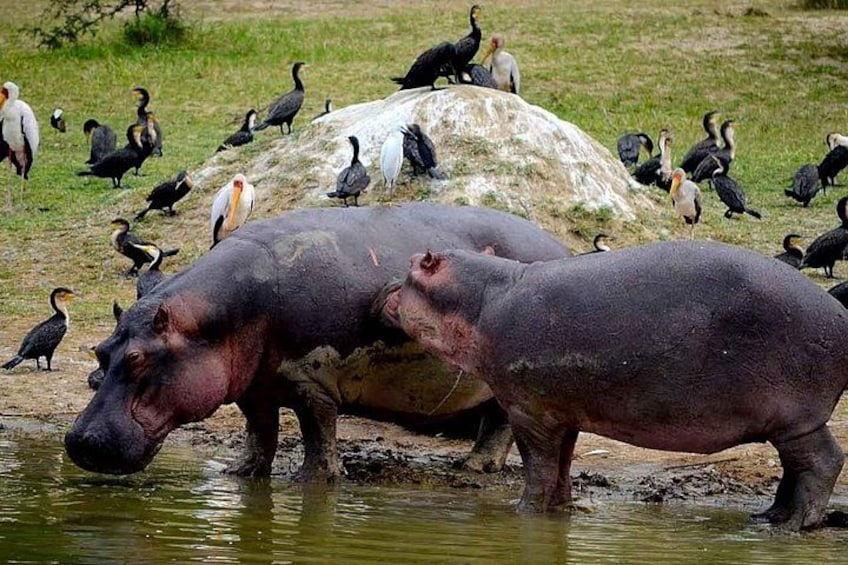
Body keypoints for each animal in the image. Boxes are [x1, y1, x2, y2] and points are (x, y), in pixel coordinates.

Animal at [65, 203, 570, 480]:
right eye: (100, 351)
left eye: (137, 359)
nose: (79, 441)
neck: (215, 318)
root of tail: (562, 248)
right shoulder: (255, 389)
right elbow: (260, 434)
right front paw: (240, 474)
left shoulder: (312, 383)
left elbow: (317, 434)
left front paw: (312, 480)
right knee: (496, 421)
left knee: (500, 423)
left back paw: (474, 468)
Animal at [380, 241, 848, 530]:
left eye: (413, 266)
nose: (387, 285)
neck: (481, 299)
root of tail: (841, 314)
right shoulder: (562, 414)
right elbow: (562, 465)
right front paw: (561, 510)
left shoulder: (528, 411)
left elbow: (538, 466)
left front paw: (523, 511)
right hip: (787, 424)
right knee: (795, 469)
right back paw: (769, 517)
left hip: (796, 418)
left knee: (824, 461)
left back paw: (794, 525)